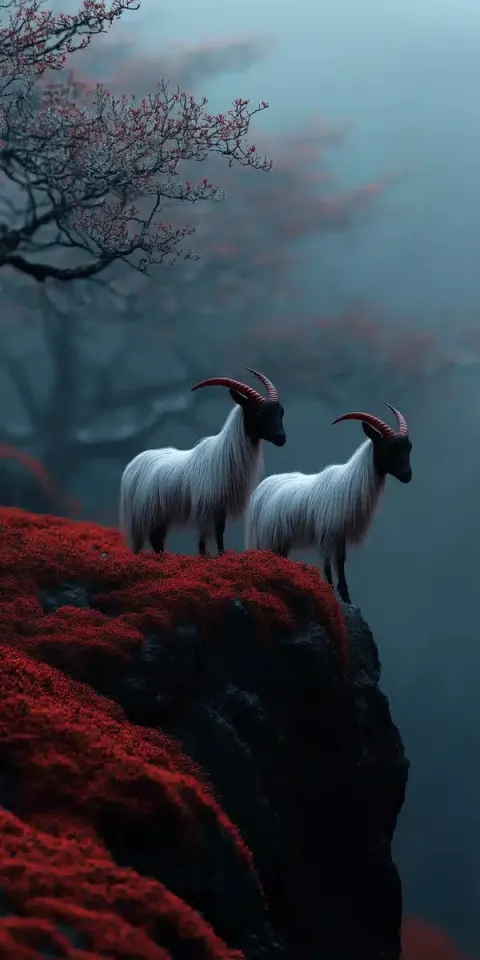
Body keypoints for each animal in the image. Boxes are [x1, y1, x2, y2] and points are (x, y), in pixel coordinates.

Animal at [119, 368, 286, 556]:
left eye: (281, 412)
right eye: (258, 413)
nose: (282, 438)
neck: (222, 454)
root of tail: (132, 466)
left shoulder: (219, 507)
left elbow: (220, 531)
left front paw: (221, 554)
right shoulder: (206, 507)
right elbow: (206, 538)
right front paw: (207, 556)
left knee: (157, 539)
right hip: (145, 515)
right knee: (153, 538)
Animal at [245, 404, 412, 604]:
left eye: (409, 448)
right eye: (388, 448)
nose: (407, 475)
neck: (349, 482)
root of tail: (260, 489)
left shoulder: (340, 534)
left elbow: (340, 563)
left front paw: (346, 598)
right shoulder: (325, 533)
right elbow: (327, 565)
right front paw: (330, 592)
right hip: (267, 536)